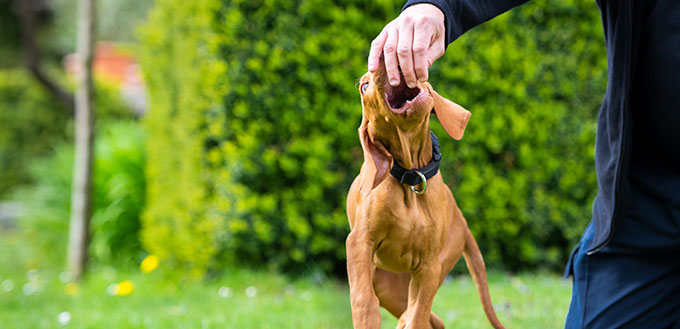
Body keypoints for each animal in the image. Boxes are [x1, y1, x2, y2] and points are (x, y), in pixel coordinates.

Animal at [346, 60, 504, 328]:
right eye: (364, 87)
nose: (382, 59)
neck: (412, 175)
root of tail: (463, 223)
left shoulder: (429, 265)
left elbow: (417, 314)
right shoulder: (358, 243)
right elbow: (364, 301)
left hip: (430, 270)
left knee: (422, 317)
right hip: (388, 284)